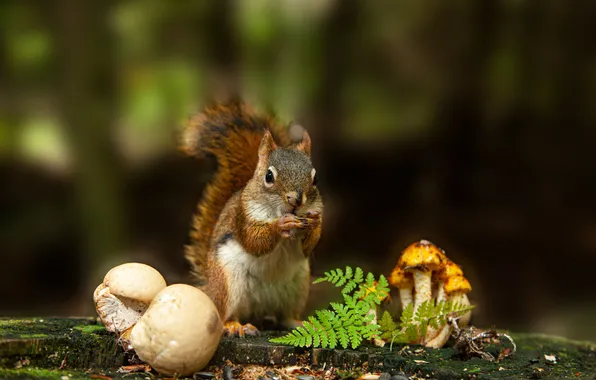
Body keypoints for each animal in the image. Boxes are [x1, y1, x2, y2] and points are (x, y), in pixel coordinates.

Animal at [179, 101, 324, 336]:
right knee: (225, 315)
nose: (296, 199)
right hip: (228, 283)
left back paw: (301, 323)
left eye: (315, 178)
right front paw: (280, 226)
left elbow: (307, 247)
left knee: (284, 317)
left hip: (298, 288)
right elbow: (254, 241)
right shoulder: (242, 216)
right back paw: (235, 325)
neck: (277, 210)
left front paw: (314, 225)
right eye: (269, 176)